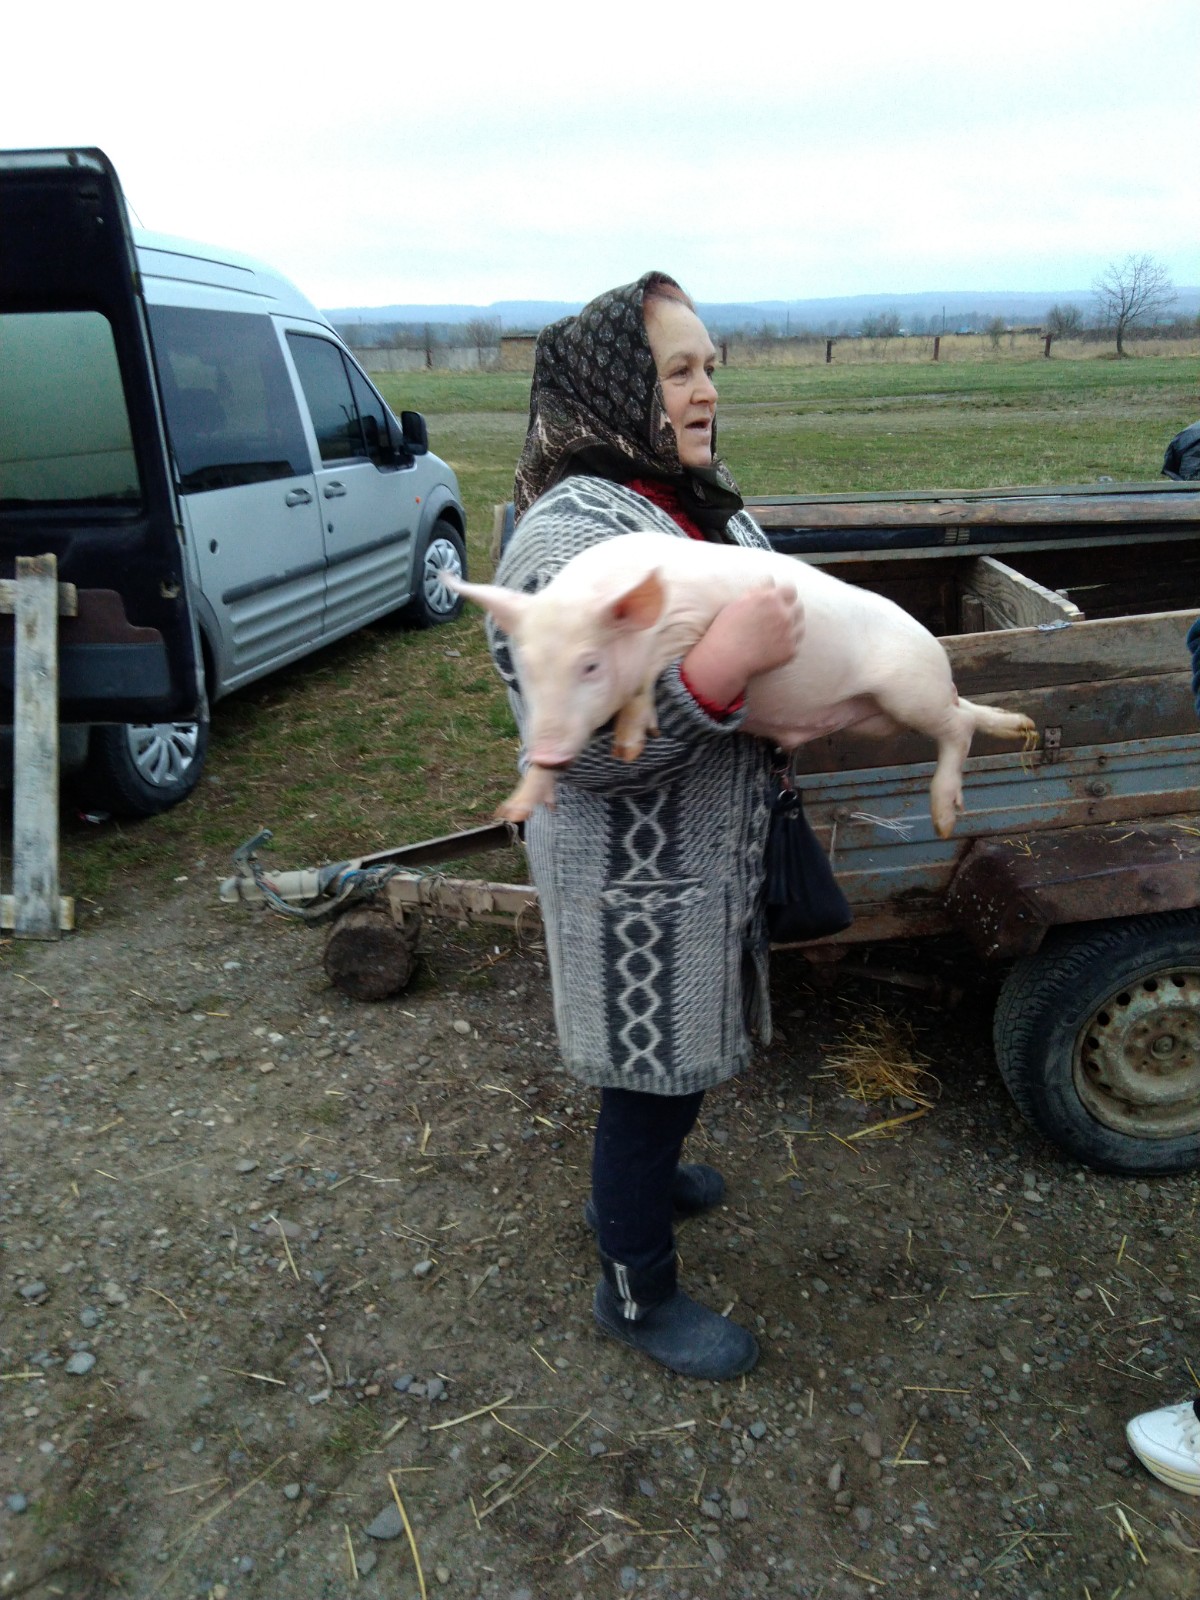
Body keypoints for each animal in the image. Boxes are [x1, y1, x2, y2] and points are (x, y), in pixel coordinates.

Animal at [451, 531, 1035, 838]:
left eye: (590, 665)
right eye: (522, 666)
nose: (547, 749)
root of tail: (937, 656)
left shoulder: (687, 625)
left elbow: (647, 678)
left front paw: (630, 743)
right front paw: (514, 811)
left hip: (907, 691)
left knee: (956, 727)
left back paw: (944, 822)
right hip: (881, 717)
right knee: (966, 715)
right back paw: (1021, 727)